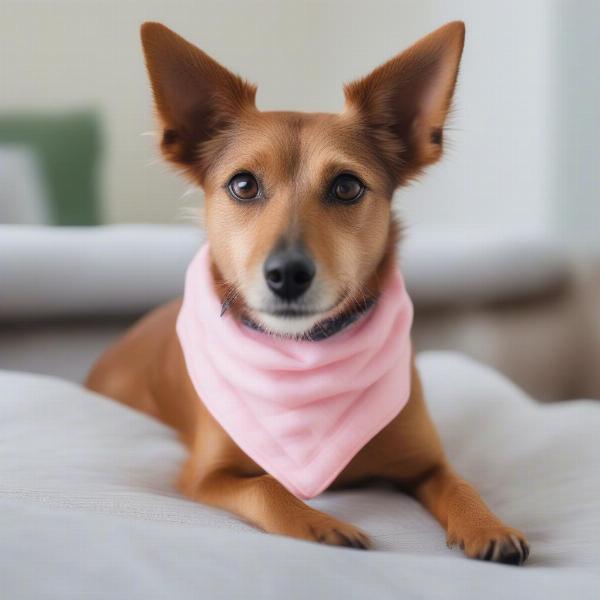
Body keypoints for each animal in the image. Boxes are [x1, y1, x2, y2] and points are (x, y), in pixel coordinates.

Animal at [88, 17, 528, 564]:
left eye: (346, 186)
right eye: (243, 185)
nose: (288, 274)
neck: (303, 353)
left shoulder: (427, 462)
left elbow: (461, 483)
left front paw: (488, 524)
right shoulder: (206, 475)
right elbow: (267, 487)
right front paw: (319, 524)